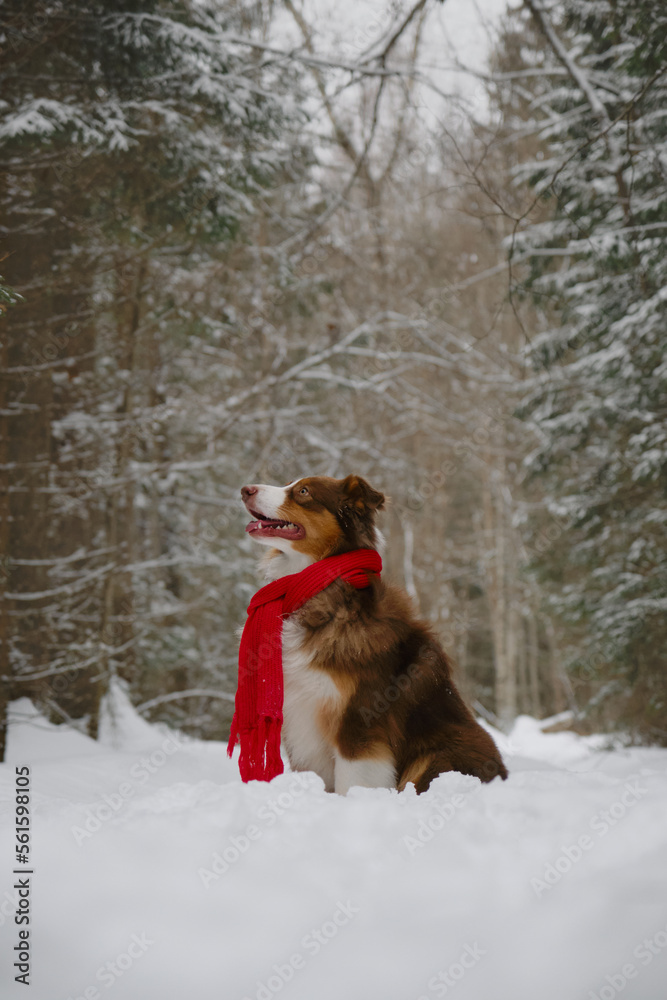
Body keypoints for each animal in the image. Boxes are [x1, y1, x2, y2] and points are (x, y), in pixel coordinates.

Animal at [240, 476, 506, 796]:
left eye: (304, 491)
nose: (245, 490)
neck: (320, 593)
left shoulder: (359, 718)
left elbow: (352, 780)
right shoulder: (303, 713)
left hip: (443, 751)